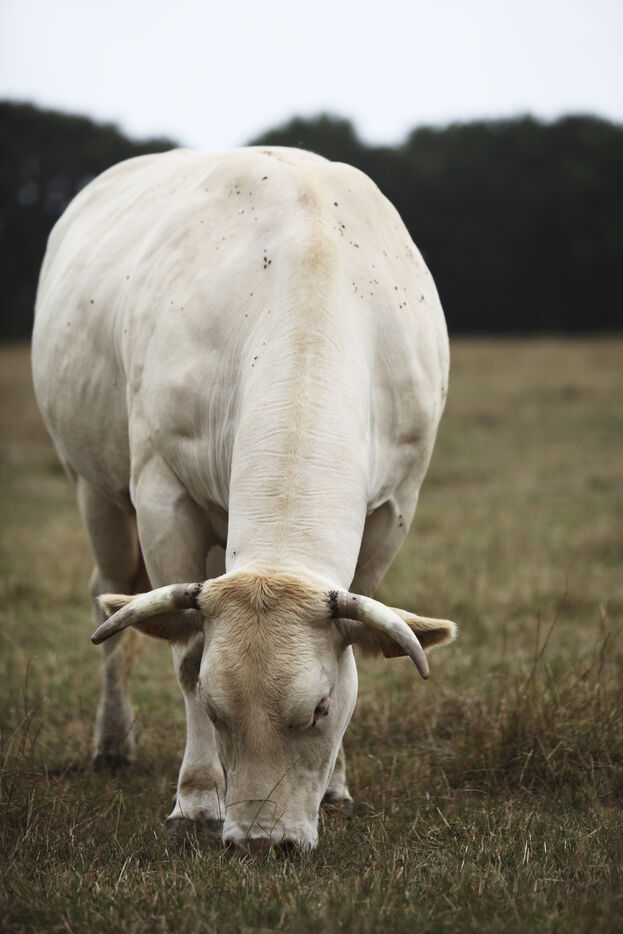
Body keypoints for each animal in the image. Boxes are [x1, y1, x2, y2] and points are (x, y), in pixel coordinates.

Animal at [31, 146, 457, 853]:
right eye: (214, 706)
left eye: (319, 708)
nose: (262, 842)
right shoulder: (161, 496)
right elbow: (186, 655)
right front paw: (197, 799)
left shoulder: (394, 508)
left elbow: (357, 641)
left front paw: (338, 788)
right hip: (95, 488)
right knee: (107, 591)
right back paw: (113, 743)